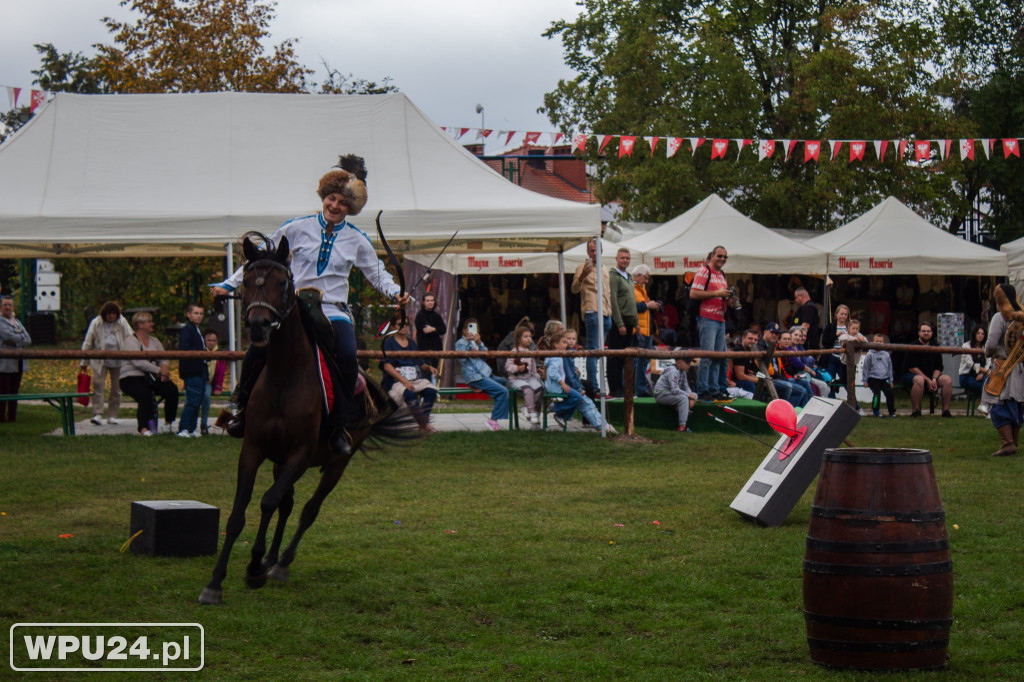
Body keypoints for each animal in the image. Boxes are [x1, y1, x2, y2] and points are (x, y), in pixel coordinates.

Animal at [199, 232, 415, 602]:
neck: (284, 377)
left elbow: (268, 501)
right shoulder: (254, 449)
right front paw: (216, 582)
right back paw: (272, 559)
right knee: (288, 503)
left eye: (282, 282)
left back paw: (280, 563)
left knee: (308, 508)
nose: (258, 326)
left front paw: (254, 568)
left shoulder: (300, 455)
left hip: (336, 463)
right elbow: (240, 511)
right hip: (279, 459)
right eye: (246, 281)